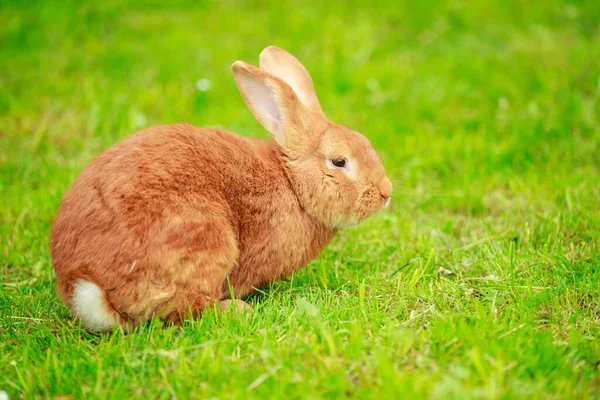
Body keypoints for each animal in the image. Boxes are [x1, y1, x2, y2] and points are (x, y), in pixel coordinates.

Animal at [49, 46, 392, 332]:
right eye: (339, 161)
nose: (385, 192)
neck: (293, 184)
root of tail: (89, 286)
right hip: (203, 240)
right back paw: (237, 310)